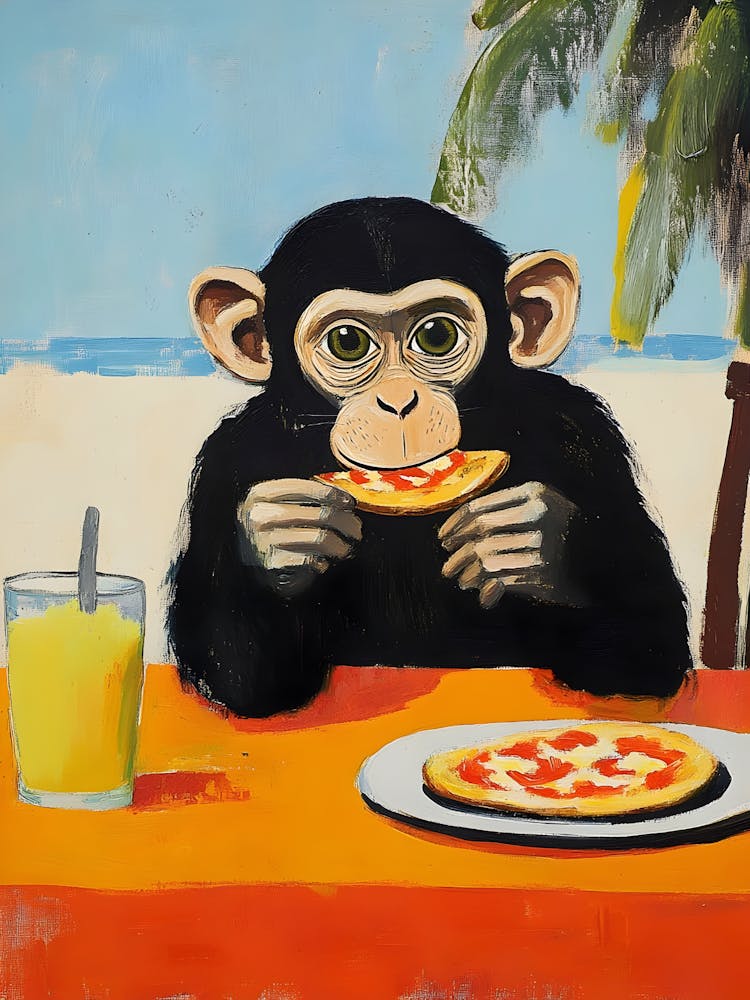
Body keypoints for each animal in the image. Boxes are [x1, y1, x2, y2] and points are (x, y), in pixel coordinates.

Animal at [168, 197, 691, 718]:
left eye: (437, 336)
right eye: (347, 343)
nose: (399, 401)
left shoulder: (587, 435)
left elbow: (647, 637)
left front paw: (534, 538)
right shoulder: (225, 460)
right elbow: (241, 676)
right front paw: (279, 536)